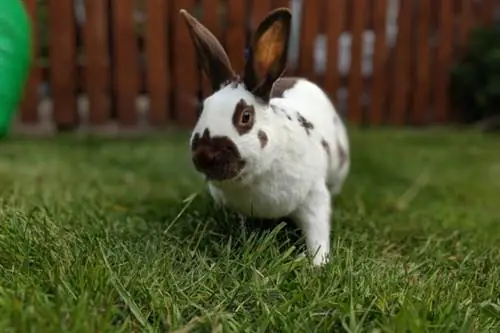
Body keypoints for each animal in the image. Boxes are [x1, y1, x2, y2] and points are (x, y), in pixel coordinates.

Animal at [181, 7, 352, 264]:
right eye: (203, 108)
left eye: (245, 117)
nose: (203, 156)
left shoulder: (314, 197)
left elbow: (318, 234)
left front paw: (319, 265)